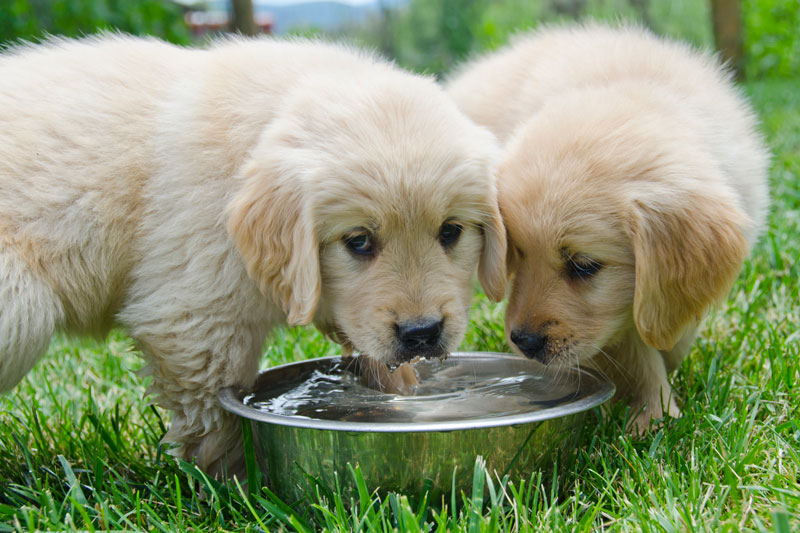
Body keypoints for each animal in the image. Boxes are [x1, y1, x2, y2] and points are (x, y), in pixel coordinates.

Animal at [0, 34, 506, 474]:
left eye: (451, 231)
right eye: (359, 241)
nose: (422, 334)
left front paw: (401, 392)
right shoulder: (194, 320)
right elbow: (217, 414)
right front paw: (236, 482)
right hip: (20, 304)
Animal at [450, 26, 768, 432]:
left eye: (584, 266)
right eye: (517, 254)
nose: (524, 342)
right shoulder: (616, 326)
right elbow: (636, 354)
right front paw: (653, 415)